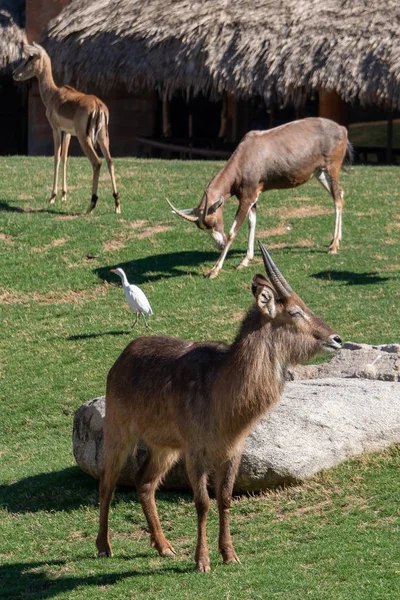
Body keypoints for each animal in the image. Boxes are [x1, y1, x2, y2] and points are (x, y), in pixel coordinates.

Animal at [12, 41, 120, 213]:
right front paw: (63, 195)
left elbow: (56, 157)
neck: (53, 94)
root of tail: (98, 105)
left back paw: (91, 204)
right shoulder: (67, 133)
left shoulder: (55, 130)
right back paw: (117, 204)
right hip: (103, 138)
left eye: (30, 57)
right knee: (110, 162)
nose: (15, 73)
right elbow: (64, 158)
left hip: (85, 139)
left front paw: (52, 197)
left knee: (97, 162)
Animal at [96, 243, 340, 572]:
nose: (336, 338)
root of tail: (122, 357)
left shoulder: (233, 450)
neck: (223, 392)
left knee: (144, 482)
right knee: (107, 482)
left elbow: (224, 499)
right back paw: (104, 546)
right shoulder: (195, 451)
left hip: (165, 446)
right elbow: (203, 503)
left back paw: (164, 547)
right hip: (120, 432)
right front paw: (202, 561)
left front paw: (230, 554)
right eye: (294, 311)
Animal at [167, 117, 352, 278]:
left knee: (337, 199)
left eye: (212, 222)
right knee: (341, 194)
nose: (220, 245)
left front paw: (214, 271)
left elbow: (233, 231)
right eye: (201, 227)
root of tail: (341, 129)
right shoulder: (252, 197)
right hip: (319, 173)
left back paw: (333, 246)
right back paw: (335, 240)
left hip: (331, 169)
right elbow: (252, 223)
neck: (247, 152)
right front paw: (245, 261)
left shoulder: (247, 199)